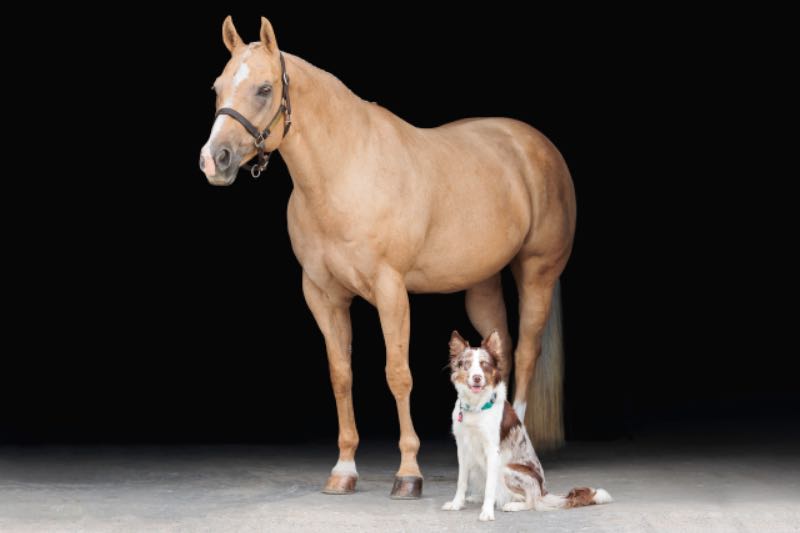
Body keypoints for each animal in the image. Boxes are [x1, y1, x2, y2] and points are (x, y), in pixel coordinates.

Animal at [199, 16, 576, 499]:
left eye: (264, 89)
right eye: (217, 87)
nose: (214, 160)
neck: (345, 171)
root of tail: (535, 145)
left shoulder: (390, 289)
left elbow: (398, 373)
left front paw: (408, 474)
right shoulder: (322, 294)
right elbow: (341, 375)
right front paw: (344, 469)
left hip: (537, 272)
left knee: (527, 350)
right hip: (482, 282)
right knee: (503, 349)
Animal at [442, 330, 612, 521]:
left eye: (485, 365)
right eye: (467, 364)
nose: (477, 378)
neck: (476, 406)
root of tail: (544, 491)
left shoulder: (492, 450)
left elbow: (490, 487)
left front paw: (487, 512)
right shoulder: (462, 447)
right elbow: (461, 481)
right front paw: (457, 504)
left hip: (507, 469)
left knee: (532, 501)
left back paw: (513, 505)